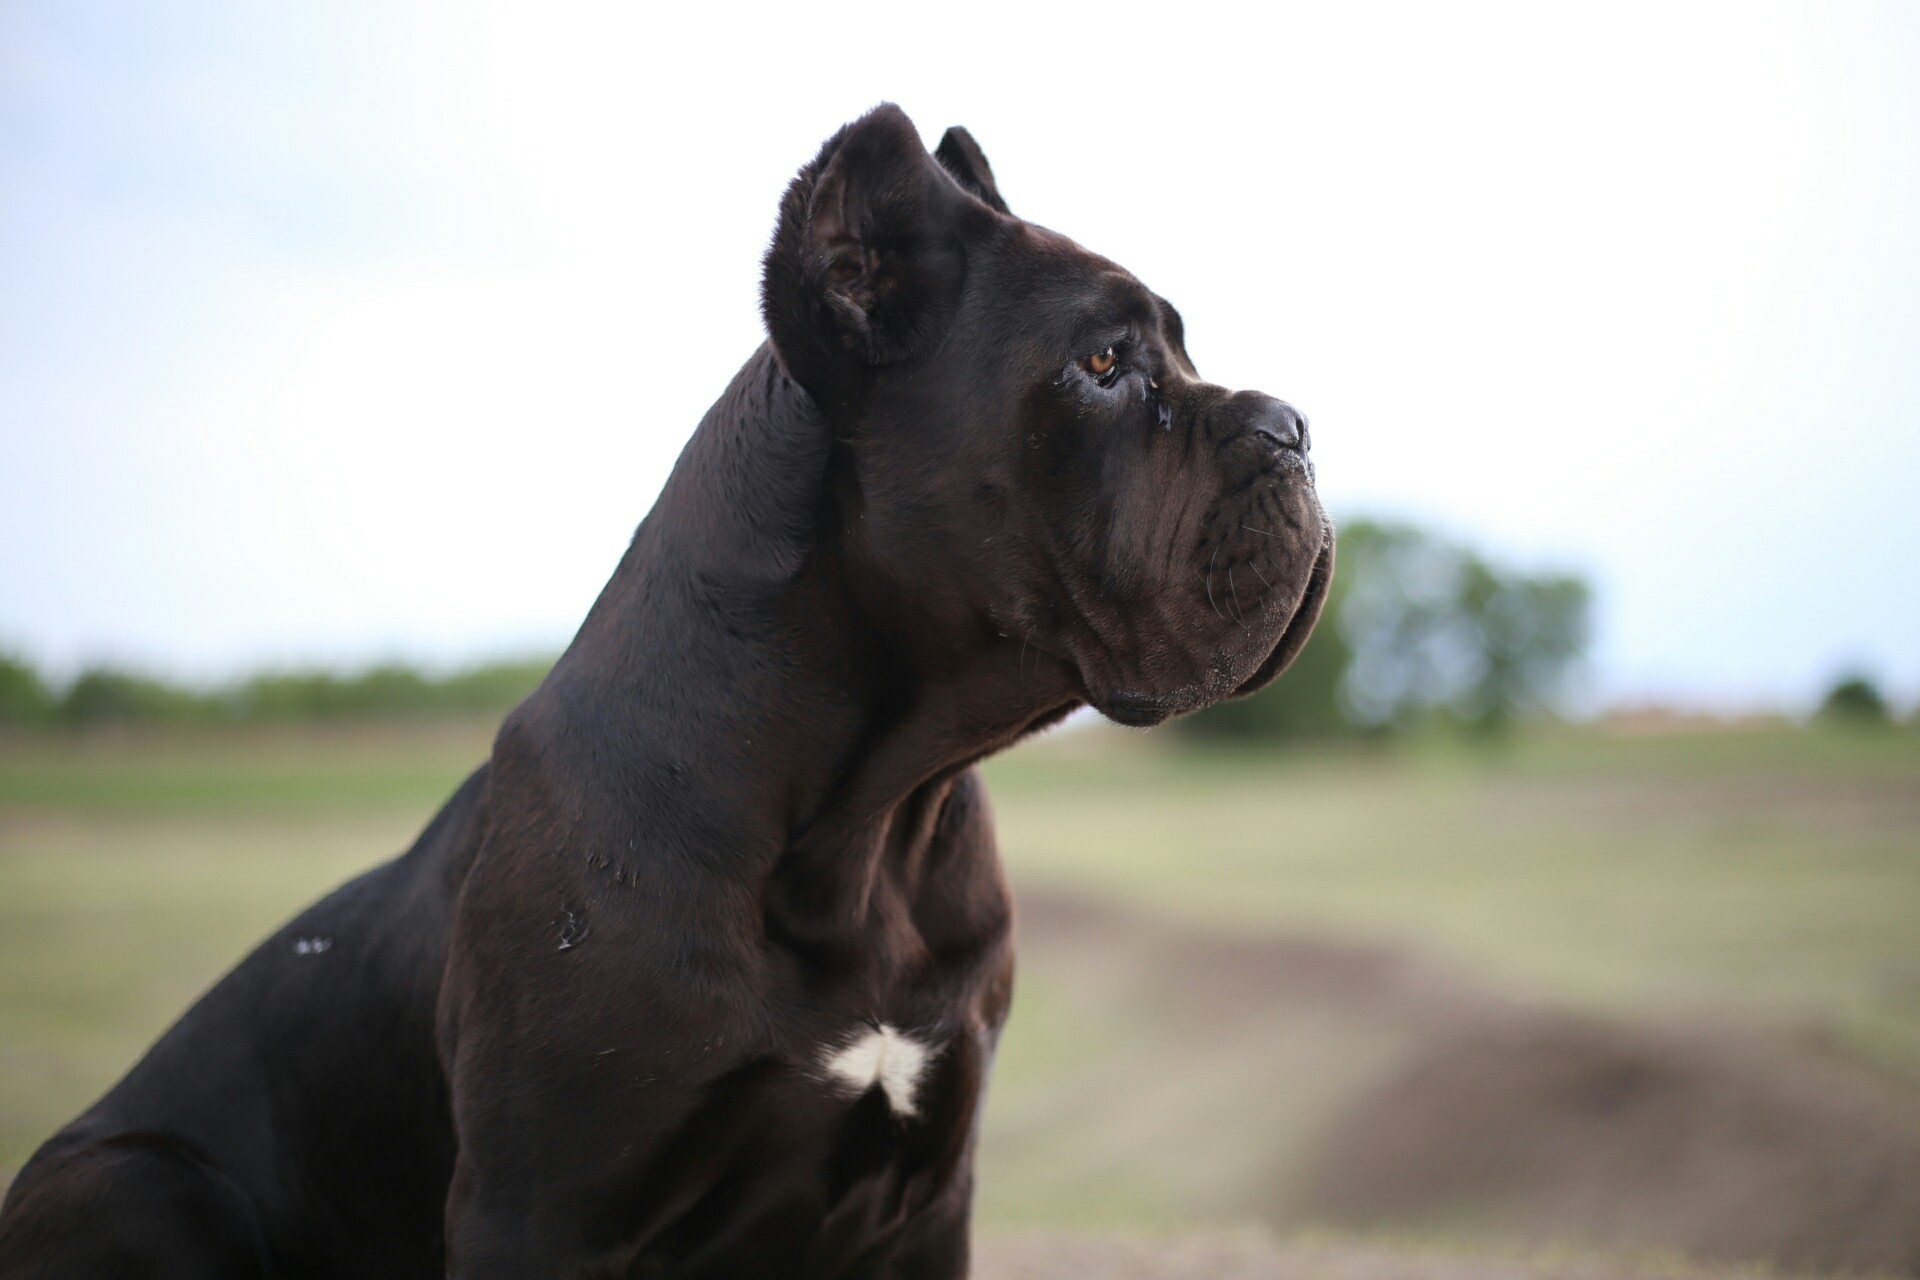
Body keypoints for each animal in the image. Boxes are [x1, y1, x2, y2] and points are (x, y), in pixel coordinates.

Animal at [0, 105, 1320, 1274]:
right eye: (1103, 364)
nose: (1295, 425)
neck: (869, 821)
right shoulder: (538, 1207)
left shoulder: (928, 1194)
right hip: (139, 1180)